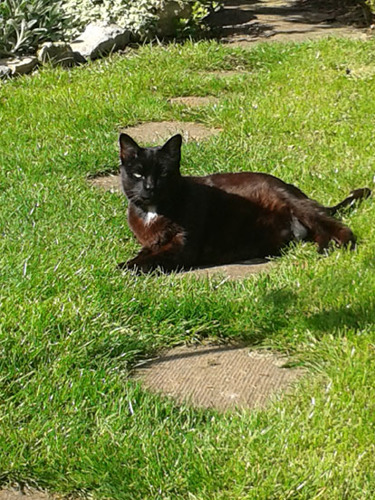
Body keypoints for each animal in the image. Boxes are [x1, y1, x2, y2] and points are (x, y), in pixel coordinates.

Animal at [119, 133, 372, 274]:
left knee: (340, 228)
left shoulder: (184, 245)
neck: (152, 213)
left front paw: (127, 268)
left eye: (163, 174)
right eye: (139, 174)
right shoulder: (152, 241)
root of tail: (294, 189)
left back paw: (332, 249)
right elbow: (147, 252)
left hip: (296, 204)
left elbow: (157, 257)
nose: (150, 188)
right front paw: (132, 261)